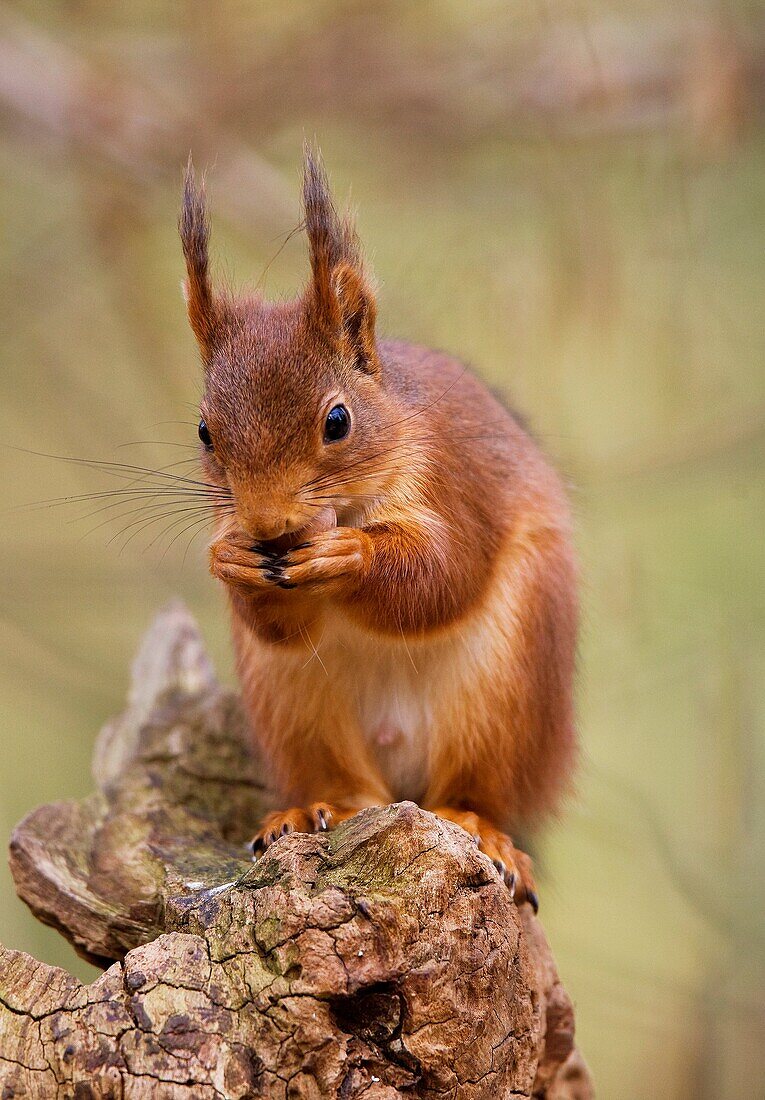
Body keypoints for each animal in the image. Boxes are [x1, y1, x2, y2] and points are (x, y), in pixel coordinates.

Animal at [179, 146, 572, 906]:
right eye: (205, 431)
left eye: (338, 421)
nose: (266, 525)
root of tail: (400, 785)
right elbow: (275, 620)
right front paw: (229, 561)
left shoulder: (456, 482)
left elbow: (444, 577)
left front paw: (348, 554)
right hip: (292, 705)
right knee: (340, 781)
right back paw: (315, 807)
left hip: (510, 689)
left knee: (478, 786)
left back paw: (476, 825)